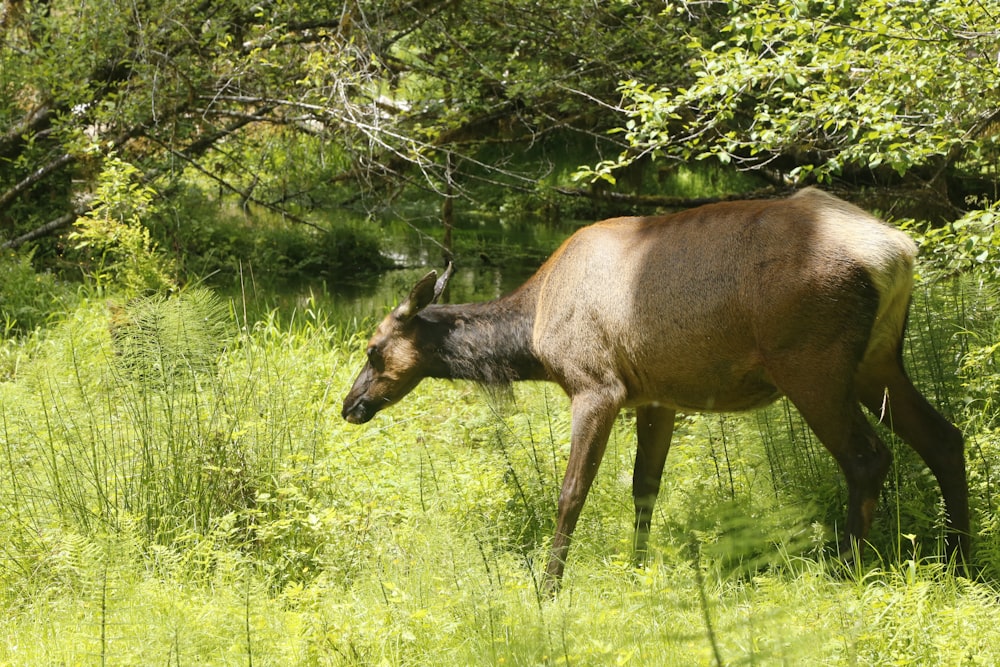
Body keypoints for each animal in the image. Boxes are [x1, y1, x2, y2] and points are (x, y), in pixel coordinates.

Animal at [344, 187, 968, 588]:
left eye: (373, 349)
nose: (351, 405)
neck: (531, 335)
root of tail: (898, 251)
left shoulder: (596, 386)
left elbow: (572, 492)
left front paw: (549, 587)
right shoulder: (657, 395)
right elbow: (645, 488)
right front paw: (638, 569)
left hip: (813, 365)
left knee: (868, 457)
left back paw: (847, 571)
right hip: (877, 361)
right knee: (945, 437)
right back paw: (959, 560)